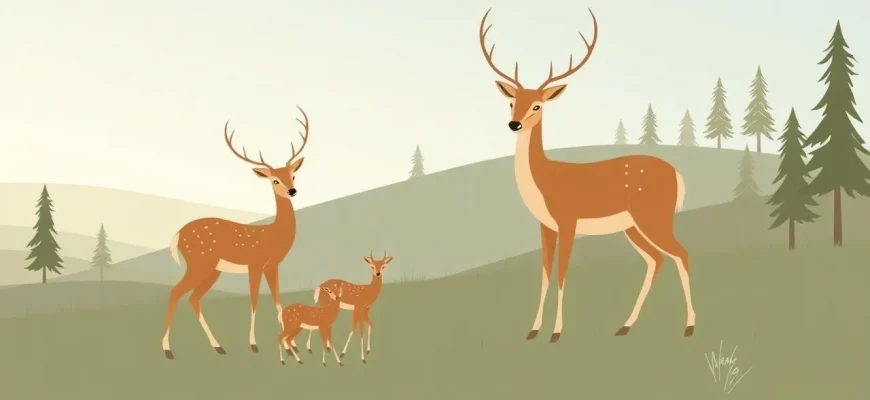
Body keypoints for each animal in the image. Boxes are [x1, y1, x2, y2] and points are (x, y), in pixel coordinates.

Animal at [161, 106, 312, 360]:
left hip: (212, 269)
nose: (292, 190)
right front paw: (254, 344)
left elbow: (277, 300)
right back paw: (168, 349)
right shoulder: (255, 264)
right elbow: (254, 301)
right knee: (175, 292)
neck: (273, 236)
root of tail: (178, 235)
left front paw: (291, 347)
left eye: (293, 175)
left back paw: (218, 346)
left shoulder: (272, 266)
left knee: (193, 297)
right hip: (199, 262)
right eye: (274, 180)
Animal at [476, 8, 696, 342]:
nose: (514, 124)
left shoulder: (568, 219)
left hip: (653, 216)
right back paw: (625, 326)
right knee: (656, 259)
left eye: (537, 105)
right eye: (512, 101)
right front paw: (533, 330)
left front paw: (556, 332)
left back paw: (689, 326)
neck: (545, 180)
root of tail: (677, 174)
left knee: (681, 254)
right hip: (633, 226)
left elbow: (562, 273)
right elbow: (544, 273)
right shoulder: (545, 224)